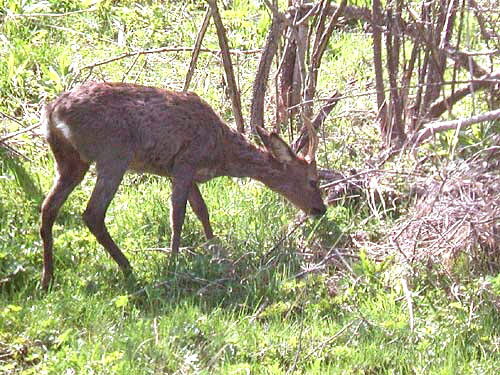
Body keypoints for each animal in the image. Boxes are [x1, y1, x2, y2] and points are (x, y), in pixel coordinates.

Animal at [41, 81, 326, 288]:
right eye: (313, 180)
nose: (320, 209)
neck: (220, 152)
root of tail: (53, 114)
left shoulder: (182, 173)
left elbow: (202, 211)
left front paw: (216, 251)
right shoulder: (184, 164)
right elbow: (178, 215)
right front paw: (174, 261)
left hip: (69, 160)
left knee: (48, 208)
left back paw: (48, 279)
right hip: (113, 154)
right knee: (92, 214)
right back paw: (128, 268)